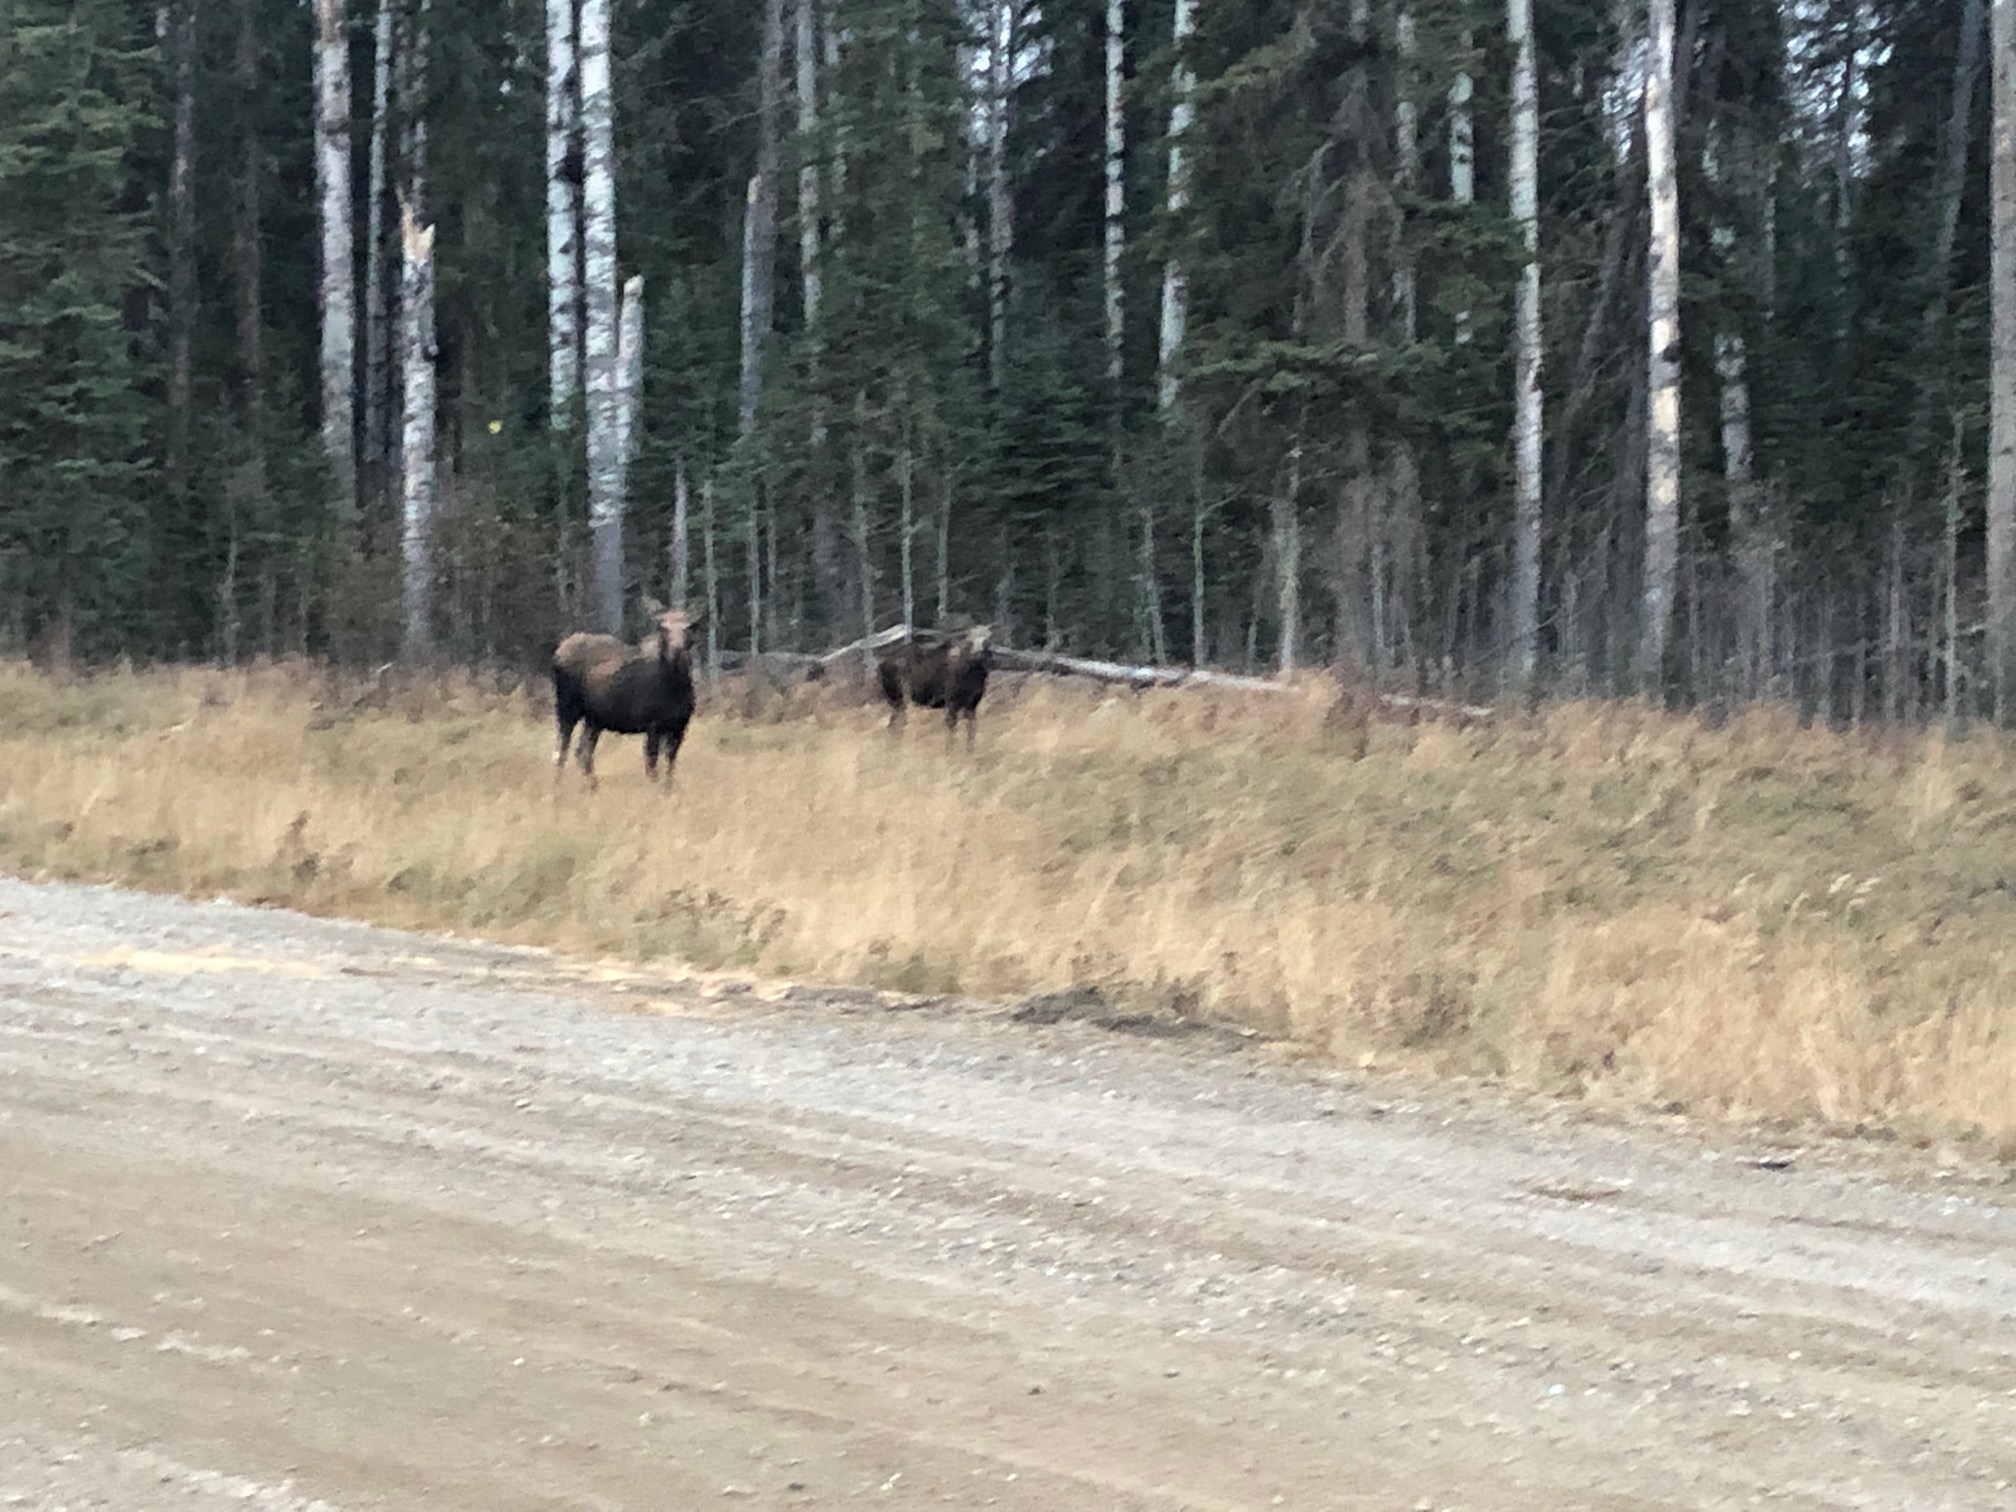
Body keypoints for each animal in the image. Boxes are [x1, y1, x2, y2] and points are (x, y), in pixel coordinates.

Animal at [552, 600, 701, 794]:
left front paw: (668, 791)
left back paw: (594, 788)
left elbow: (669, 764)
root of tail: (557, 652)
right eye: (663, 628)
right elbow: (652, 763)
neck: (676, 687)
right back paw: (558, 789)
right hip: (567, 707)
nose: (676, 651)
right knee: (561, 749)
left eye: (688, 628)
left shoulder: (680, 726)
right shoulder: (653, 725)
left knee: (582, 751)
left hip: (594, 719)